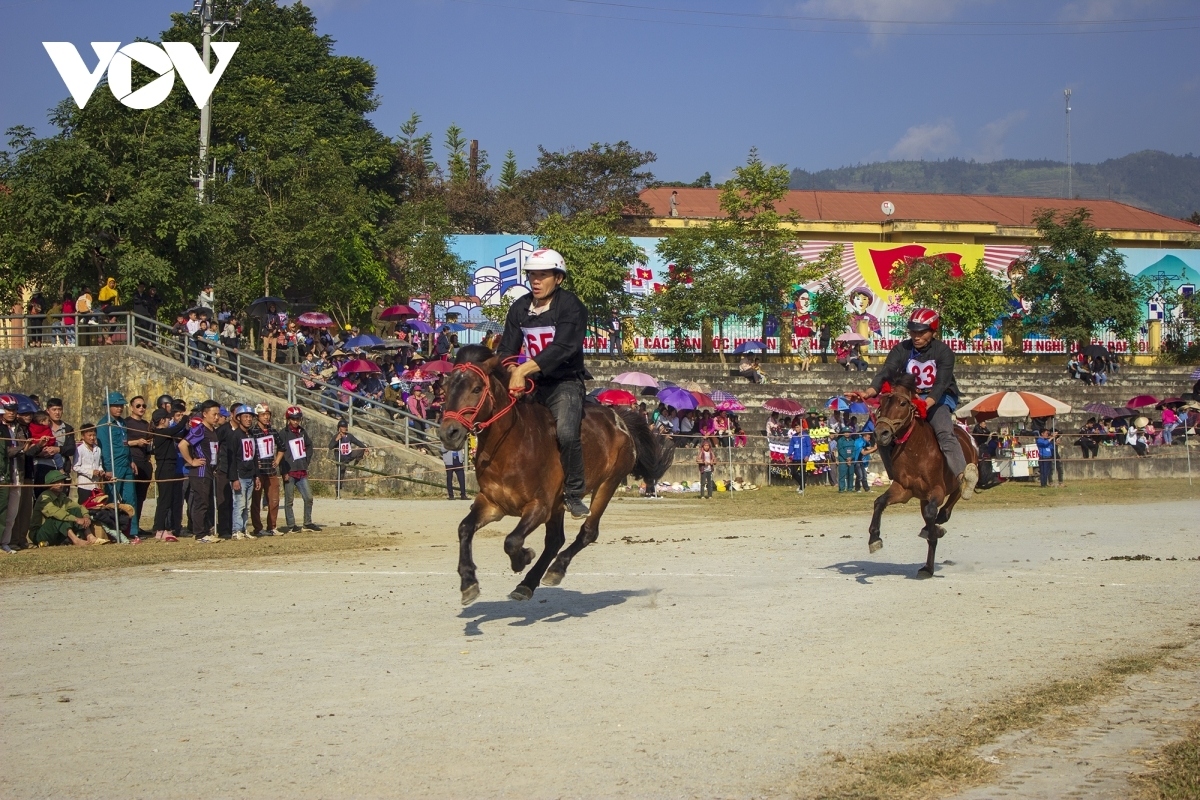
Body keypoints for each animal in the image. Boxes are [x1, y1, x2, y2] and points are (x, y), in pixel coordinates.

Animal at [436, 345, 676, 606]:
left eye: (477, 388)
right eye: (445, 388)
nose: (449, 433)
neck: (511, 445)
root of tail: (619, 419)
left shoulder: (539, 506)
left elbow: (512, 541)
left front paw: (523, 558)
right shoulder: (492, 503)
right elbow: (465, 528)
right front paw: (468, 582)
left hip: (607, 484)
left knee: (587, 532)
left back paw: (555, 569)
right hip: (559, 504)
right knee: (554, 541)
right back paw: (528, 584)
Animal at [868, 371, 979, 578]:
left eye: (902, 403)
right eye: (882, 402)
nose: (881, 433)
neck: (917, 451)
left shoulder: (937, 490)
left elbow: (931, 516)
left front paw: (934, 535)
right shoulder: (903, 489)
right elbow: (879, 502)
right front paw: (874, 538)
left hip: (959, 479)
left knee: (953, 499)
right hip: (921, 497)